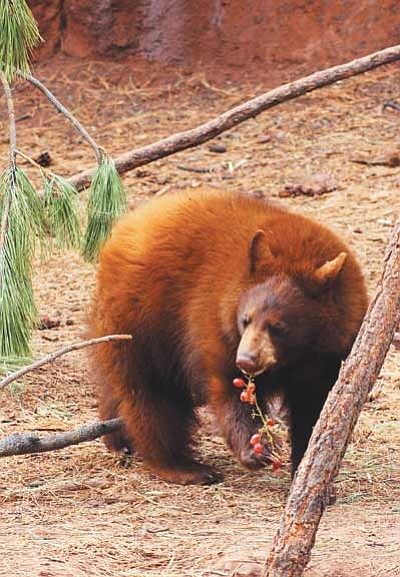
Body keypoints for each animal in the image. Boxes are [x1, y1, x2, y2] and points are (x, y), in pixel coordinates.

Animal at [88, 188, 368, 482]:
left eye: (278, 327)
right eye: (245, 320)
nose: (246, 360)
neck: (297, 356)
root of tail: (122, 229)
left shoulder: (330, 353)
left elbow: (313, 406)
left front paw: (305, 465)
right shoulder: (216, 322)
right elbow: (227, 387)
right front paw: (257, 450)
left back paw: (119, 442)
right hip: (143, 320)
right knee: (151, 394)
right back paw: (181, 466)